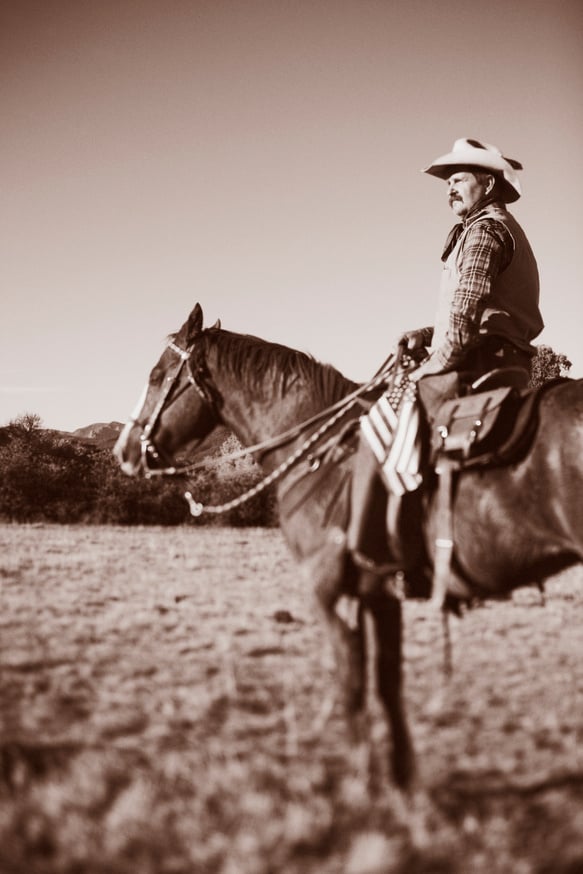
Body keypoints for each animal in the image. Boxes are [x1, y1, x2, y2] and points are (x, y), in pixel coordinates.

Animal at [114, 304, 583, 788]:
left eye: (156, 376)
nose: (123, 451)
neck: (317, 453)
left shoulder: (327, 590)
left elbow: (352, 681)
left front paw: (364, 780)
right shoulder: (380, 592)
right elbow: (388, 683)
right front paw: (401, 780)